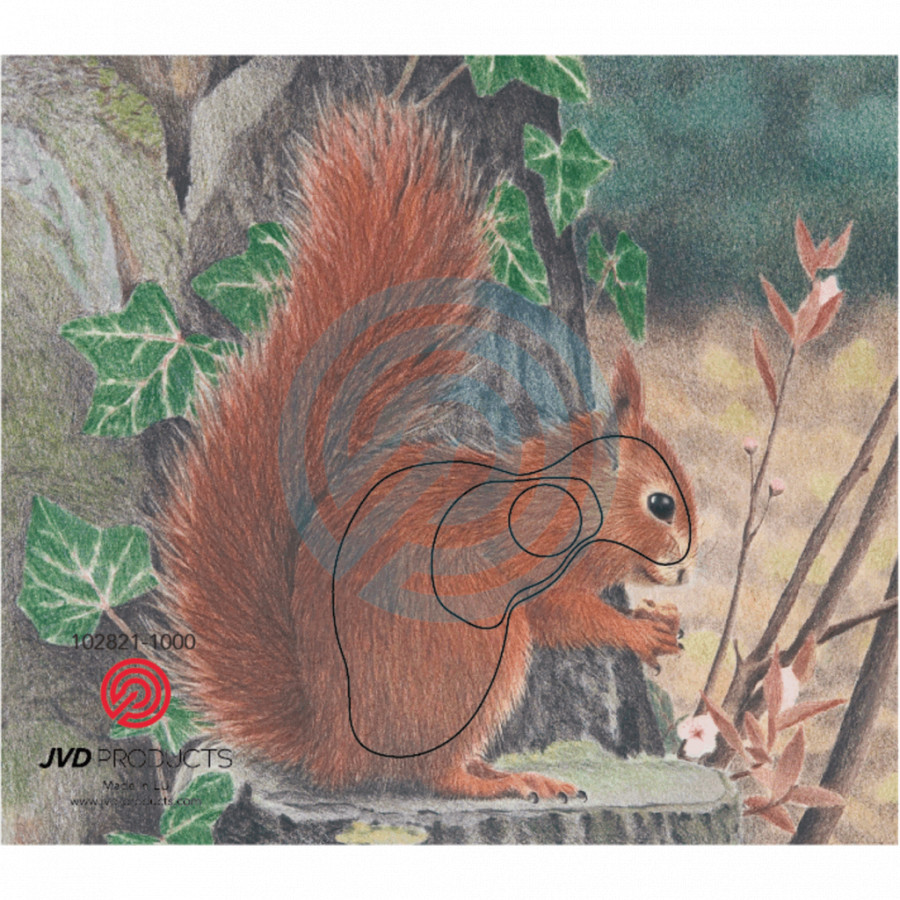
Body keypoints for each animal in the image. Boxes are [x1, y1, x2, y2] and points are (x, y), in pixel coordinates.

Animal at [154, 98, 697, 800]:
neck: (572, 492)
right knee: (432, 773)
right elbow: (562, 614)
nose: (684, 569)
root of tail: (332, 747)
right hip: (472, 660)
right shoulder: (535, 550)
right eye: (660, 504)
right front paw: (640, 630)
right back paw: (504, 781)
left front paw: (660, 614)